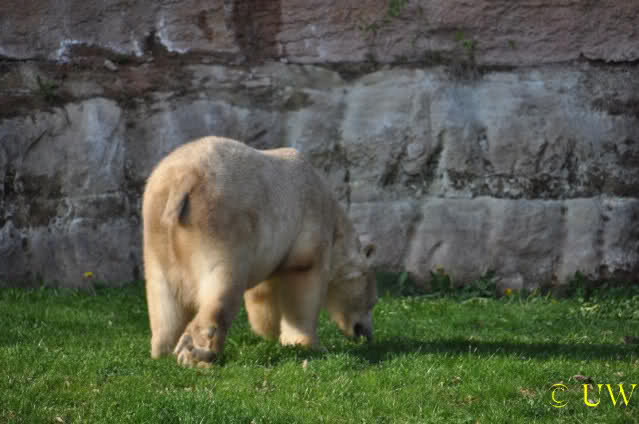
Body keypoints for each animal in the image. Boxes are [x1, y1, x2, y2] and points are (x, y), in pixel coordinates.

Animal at [142, 136, 377, 367]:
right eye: (372, 301)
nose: (366, 333)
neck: (334, 218)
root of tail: (182, 181)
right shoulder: (310, 229)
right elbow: (303, 282)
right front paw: (307, 344)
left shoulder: (268, 247)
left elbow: (262, 293)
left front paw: (271, 333)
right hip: (218, 225)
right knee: (222, 284)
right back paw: (198, 353)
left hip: (157, 231)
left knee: (163, 298)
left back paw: (163, 350)